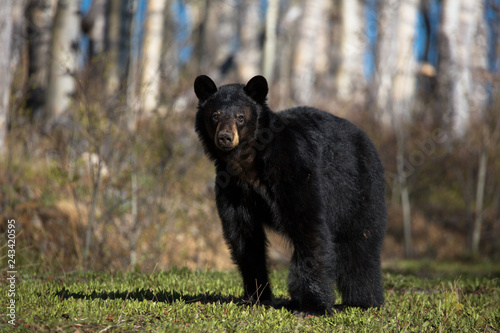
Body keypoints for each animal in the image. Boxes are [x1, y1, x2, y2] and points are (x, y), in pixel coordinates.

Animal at [193, 74, 384, 314]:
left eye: (240, 117)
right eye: (215, 115)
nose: (225, 137)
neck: (247, 162)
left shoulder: (294, 169)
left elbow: (308, 225)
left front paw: (312, 305)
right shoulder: (232, 189)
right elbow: (244, 237)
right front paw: (256, 297)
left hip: (357, 189)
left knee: (360, 242)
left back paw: (362, 301)